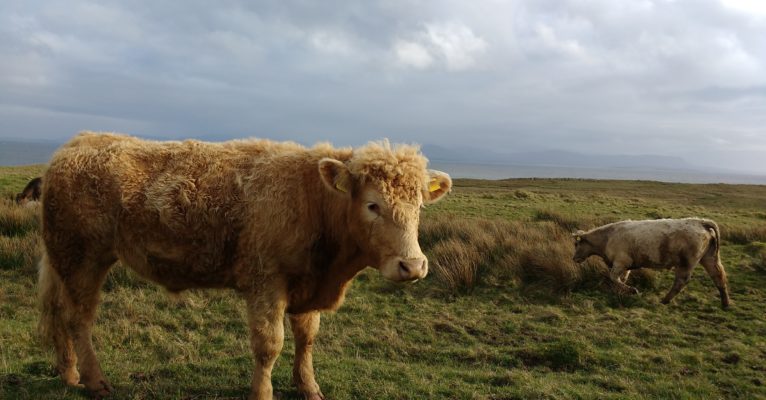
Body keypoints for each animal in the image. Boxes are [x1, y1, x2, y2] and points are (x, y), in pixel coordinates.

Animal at [39, 132, 452, 400]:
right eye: (372, 205)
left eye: (419, 205)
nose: (412, 266)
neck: (312, 202)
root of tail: (76, 143)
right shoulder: (265, 282)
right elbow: (269, 344)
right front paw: (263, 392)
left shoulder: (306, 286)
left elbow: (306, 338)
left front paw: (308, 386)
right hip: (83, 258)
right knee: (79, 318)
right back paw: (94, 381)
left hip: (65, 261)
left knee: (58, 312)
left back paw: (69, 373)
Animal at [576, 217, 732, 308]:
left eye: (576, 244)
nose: (574, 258)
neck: (607, 237)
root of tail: (700, 221)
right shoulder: (625, 265)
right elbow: (621, 279)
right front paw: (620, 291)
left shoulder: (620, 262)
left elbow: (614, 277)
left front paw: (633, 290)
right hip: (710, 258)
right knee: (718, 276)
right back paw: (725, 303)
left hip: (685, 263)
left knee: (681, 281)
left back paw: (665, 300)